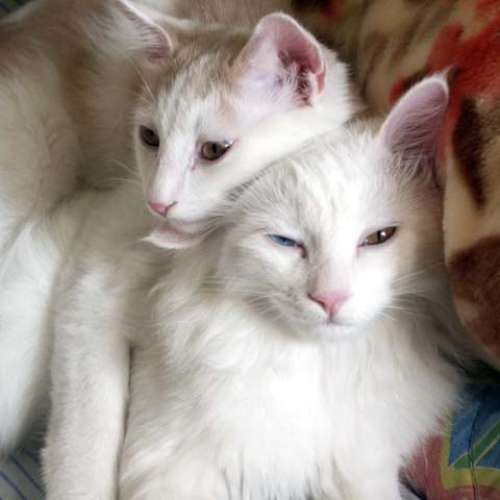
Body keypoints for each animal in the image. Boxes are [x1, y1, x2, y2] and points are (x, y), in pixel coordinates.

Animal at [42, 74, 467, 499]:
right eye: (285, 242)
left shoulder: (362, 465)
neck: (316, 365)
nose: (330, 298)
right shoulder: (172, 464)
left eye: (379, 237)